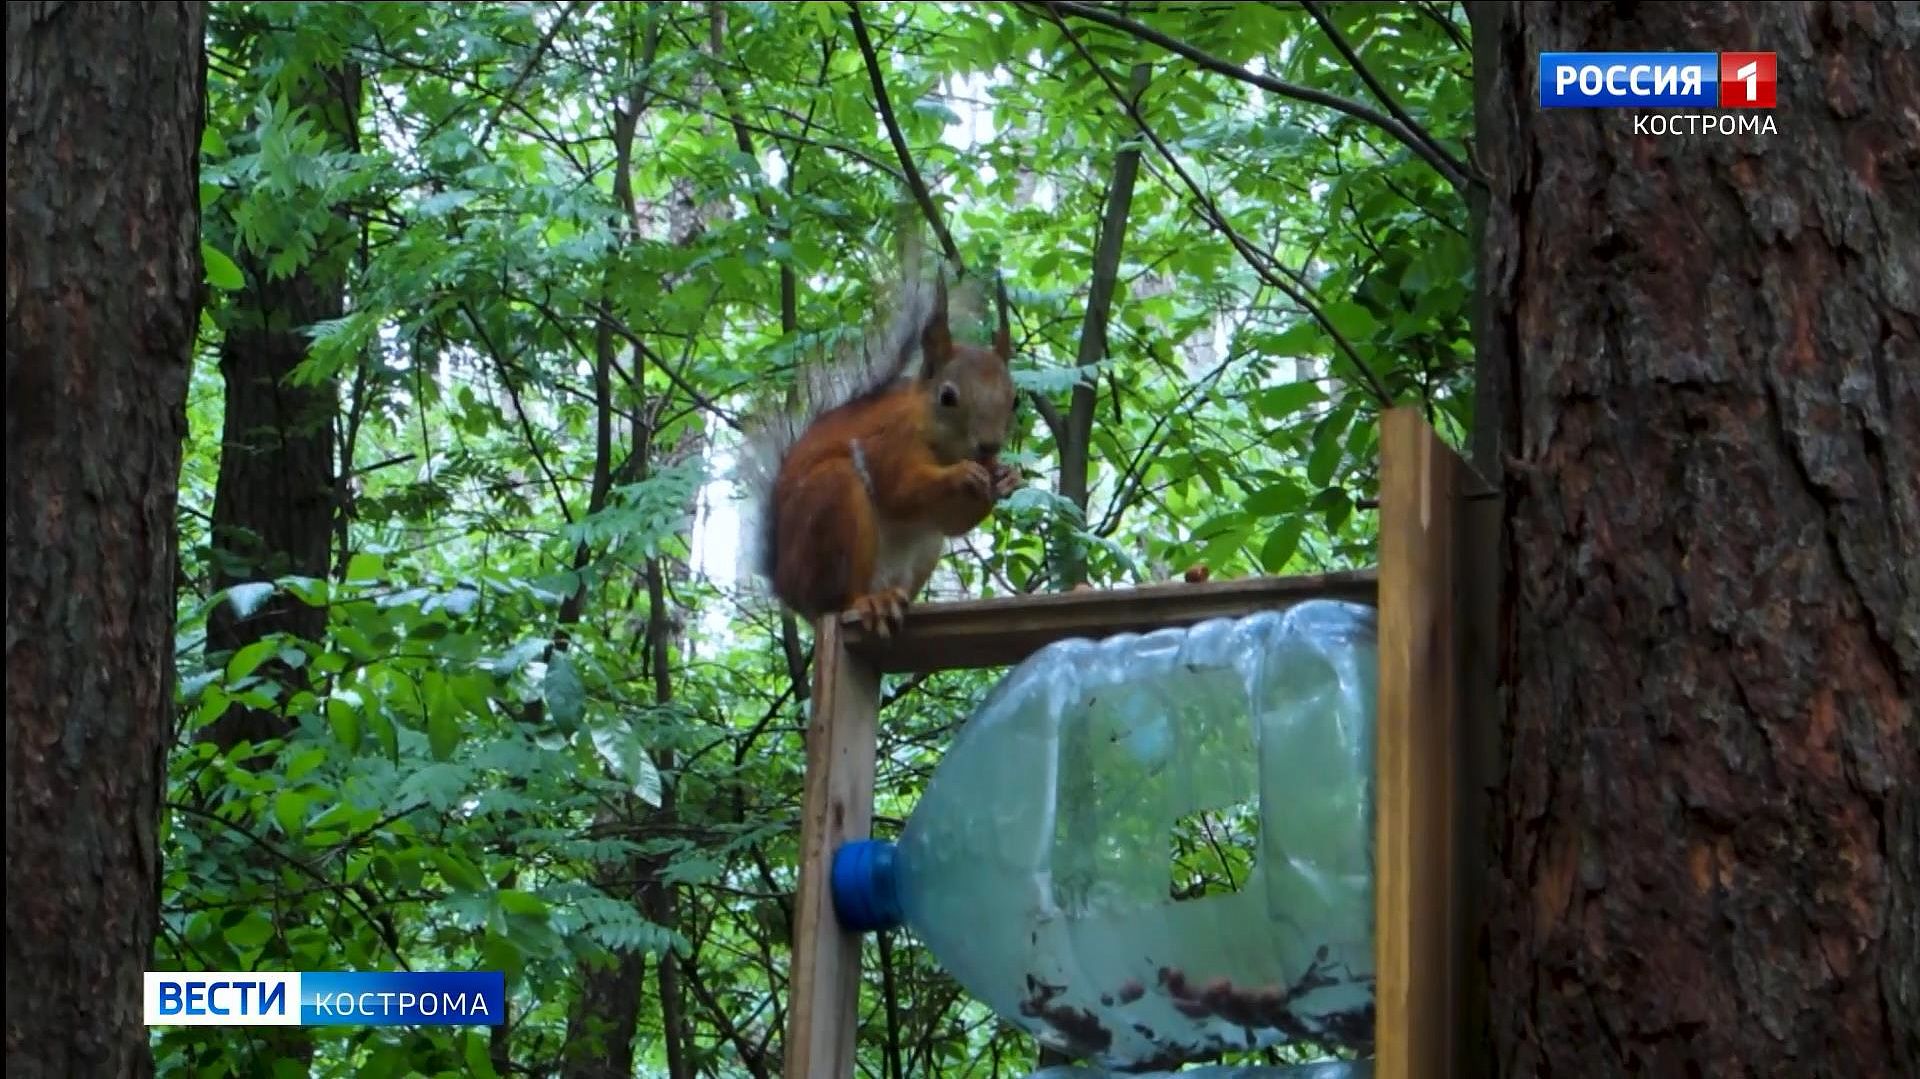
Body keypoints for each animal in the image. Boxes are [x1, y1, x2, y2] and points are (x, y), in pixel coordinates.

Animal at [741, 270, 1029, 637]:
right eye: (947, 397)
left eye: (1015, 399)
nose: (990, 446)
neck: (944, 447)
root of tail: (787, 589)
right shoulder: (890, 443)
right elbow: (901, 489)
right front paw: (963, 474)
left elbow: (954, 522)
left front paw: (1007, 477)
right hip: (831, 506)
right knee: (839, 599)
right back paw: (868, 603)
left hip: (923, 552)